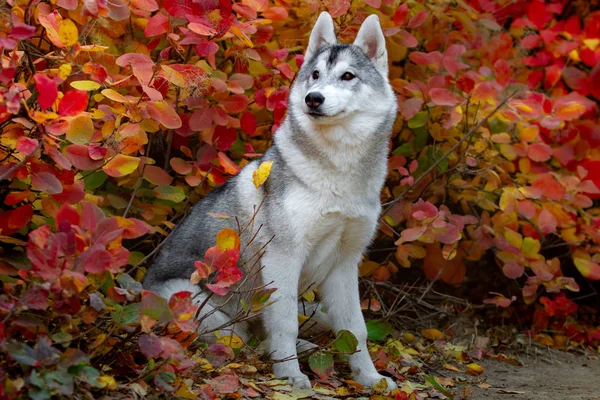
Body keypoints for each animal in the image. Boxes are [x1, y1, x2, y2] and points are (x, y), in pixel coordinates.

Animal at [143, 11, 398, 390]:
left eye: (348, 76)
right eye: (315, 75)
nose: (313, 98)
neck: (339, 170)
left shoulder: (344, 265)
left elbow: (356, 329)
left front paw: (369, 377)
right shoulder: (282, 258)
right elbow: (284, 324)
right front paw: (289, 375)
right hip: (195, 303)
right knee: (240, 337)